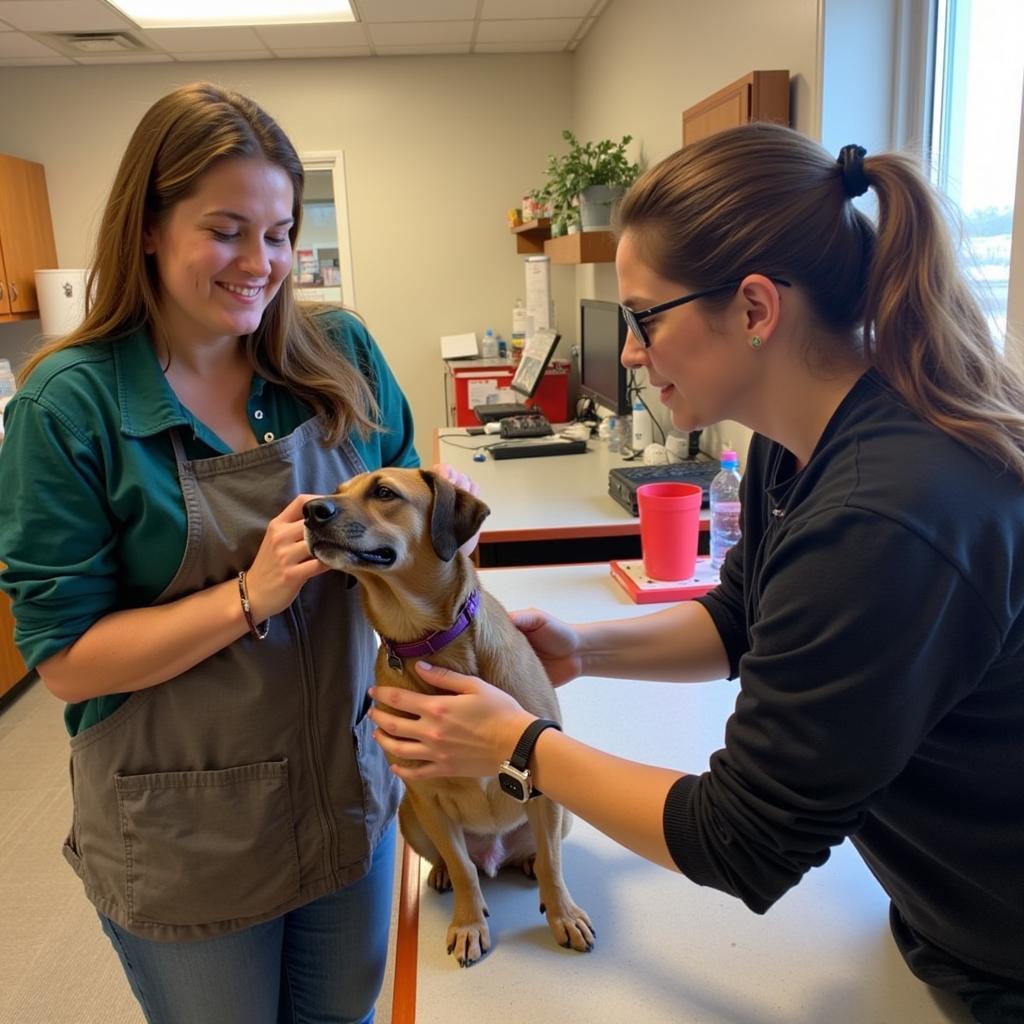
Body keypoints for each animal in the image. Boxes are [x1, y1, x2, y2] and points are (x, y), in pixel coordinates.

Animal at [299, 468, 598, 962]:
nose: (310, 509)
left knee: (542, 852)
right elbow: (462, 869)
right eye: (336, 491)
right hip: (412, 818)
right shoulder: (430, 799)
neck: (430, 641)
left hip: (561, 812)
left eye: (384, 492)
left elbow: (554, 866)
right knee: (459, 861)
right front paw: (468, 922)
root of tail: (495, 853)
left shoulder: (541, 790)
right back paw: (442, 873)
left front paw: (564, 915)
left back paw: (528, 860)